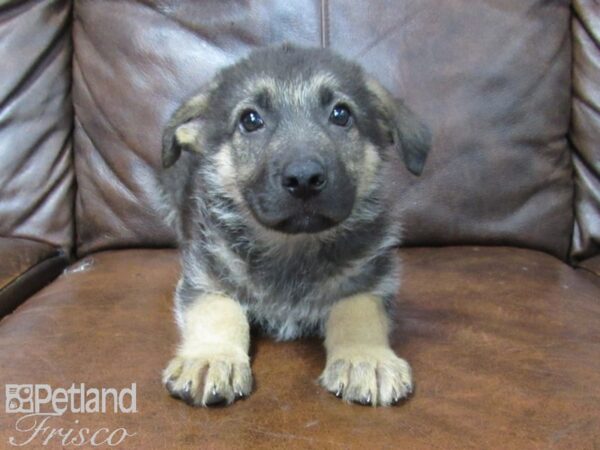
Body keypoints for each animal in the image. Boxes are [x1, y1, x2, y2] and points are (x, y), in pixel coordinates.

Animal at [159, 45, 432, 408]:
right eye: (250, 120)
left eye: (341, 114)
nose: (304, 178)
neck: (293, 248)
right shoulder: (204, 276)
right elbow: (217, 310)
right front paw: (212, 357)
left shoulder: (371, 280)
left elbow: (359, 311)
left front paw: (365, 358)